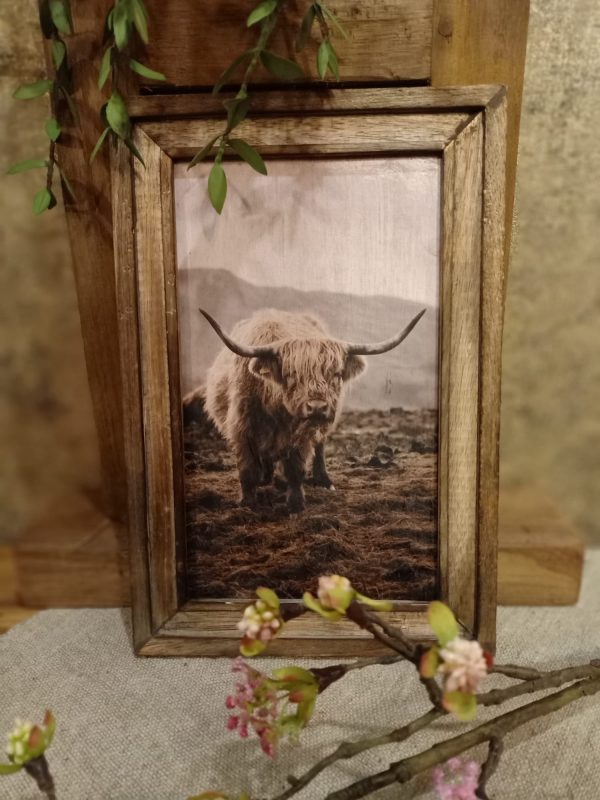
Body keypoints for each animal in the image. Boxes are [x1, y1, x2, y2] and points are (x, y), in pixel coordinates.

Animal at [199, 304, 424, 516]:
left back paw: (323, 480)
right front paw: (247, 503)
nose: (317, 407)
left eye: (336, 374)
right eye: (291, 375)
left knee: (319, 448)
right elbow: (247, 470)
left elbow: (296, 469)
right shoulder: (241, 427)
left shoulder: (303, 433)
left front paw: (296, 504)